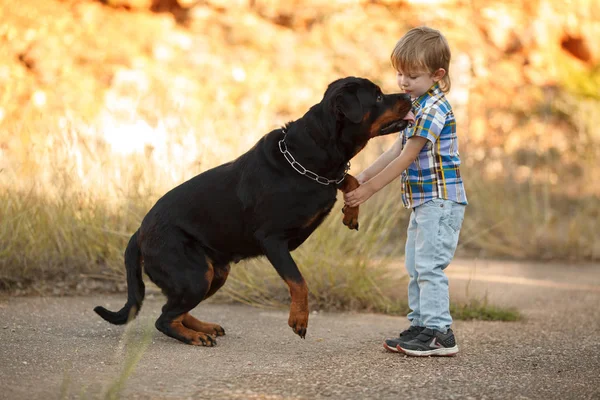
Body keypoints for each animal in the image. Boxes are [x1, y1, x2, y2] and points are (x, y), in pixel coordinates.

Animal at [95, 76, 412, 346]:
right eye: (379, 96)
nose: (408, 96)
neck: (307, 156)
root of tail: (139, 232)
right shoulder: (272, 240)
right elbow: (299, 281)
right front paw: (299, 319)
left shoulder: (329, 178)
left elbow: (351, 180)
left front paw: (351, 212)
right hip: (195, 273)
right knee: (163, 318)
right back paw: (194, 337)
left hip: (214, 272)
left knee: (173, 309)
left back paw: (202, 327)